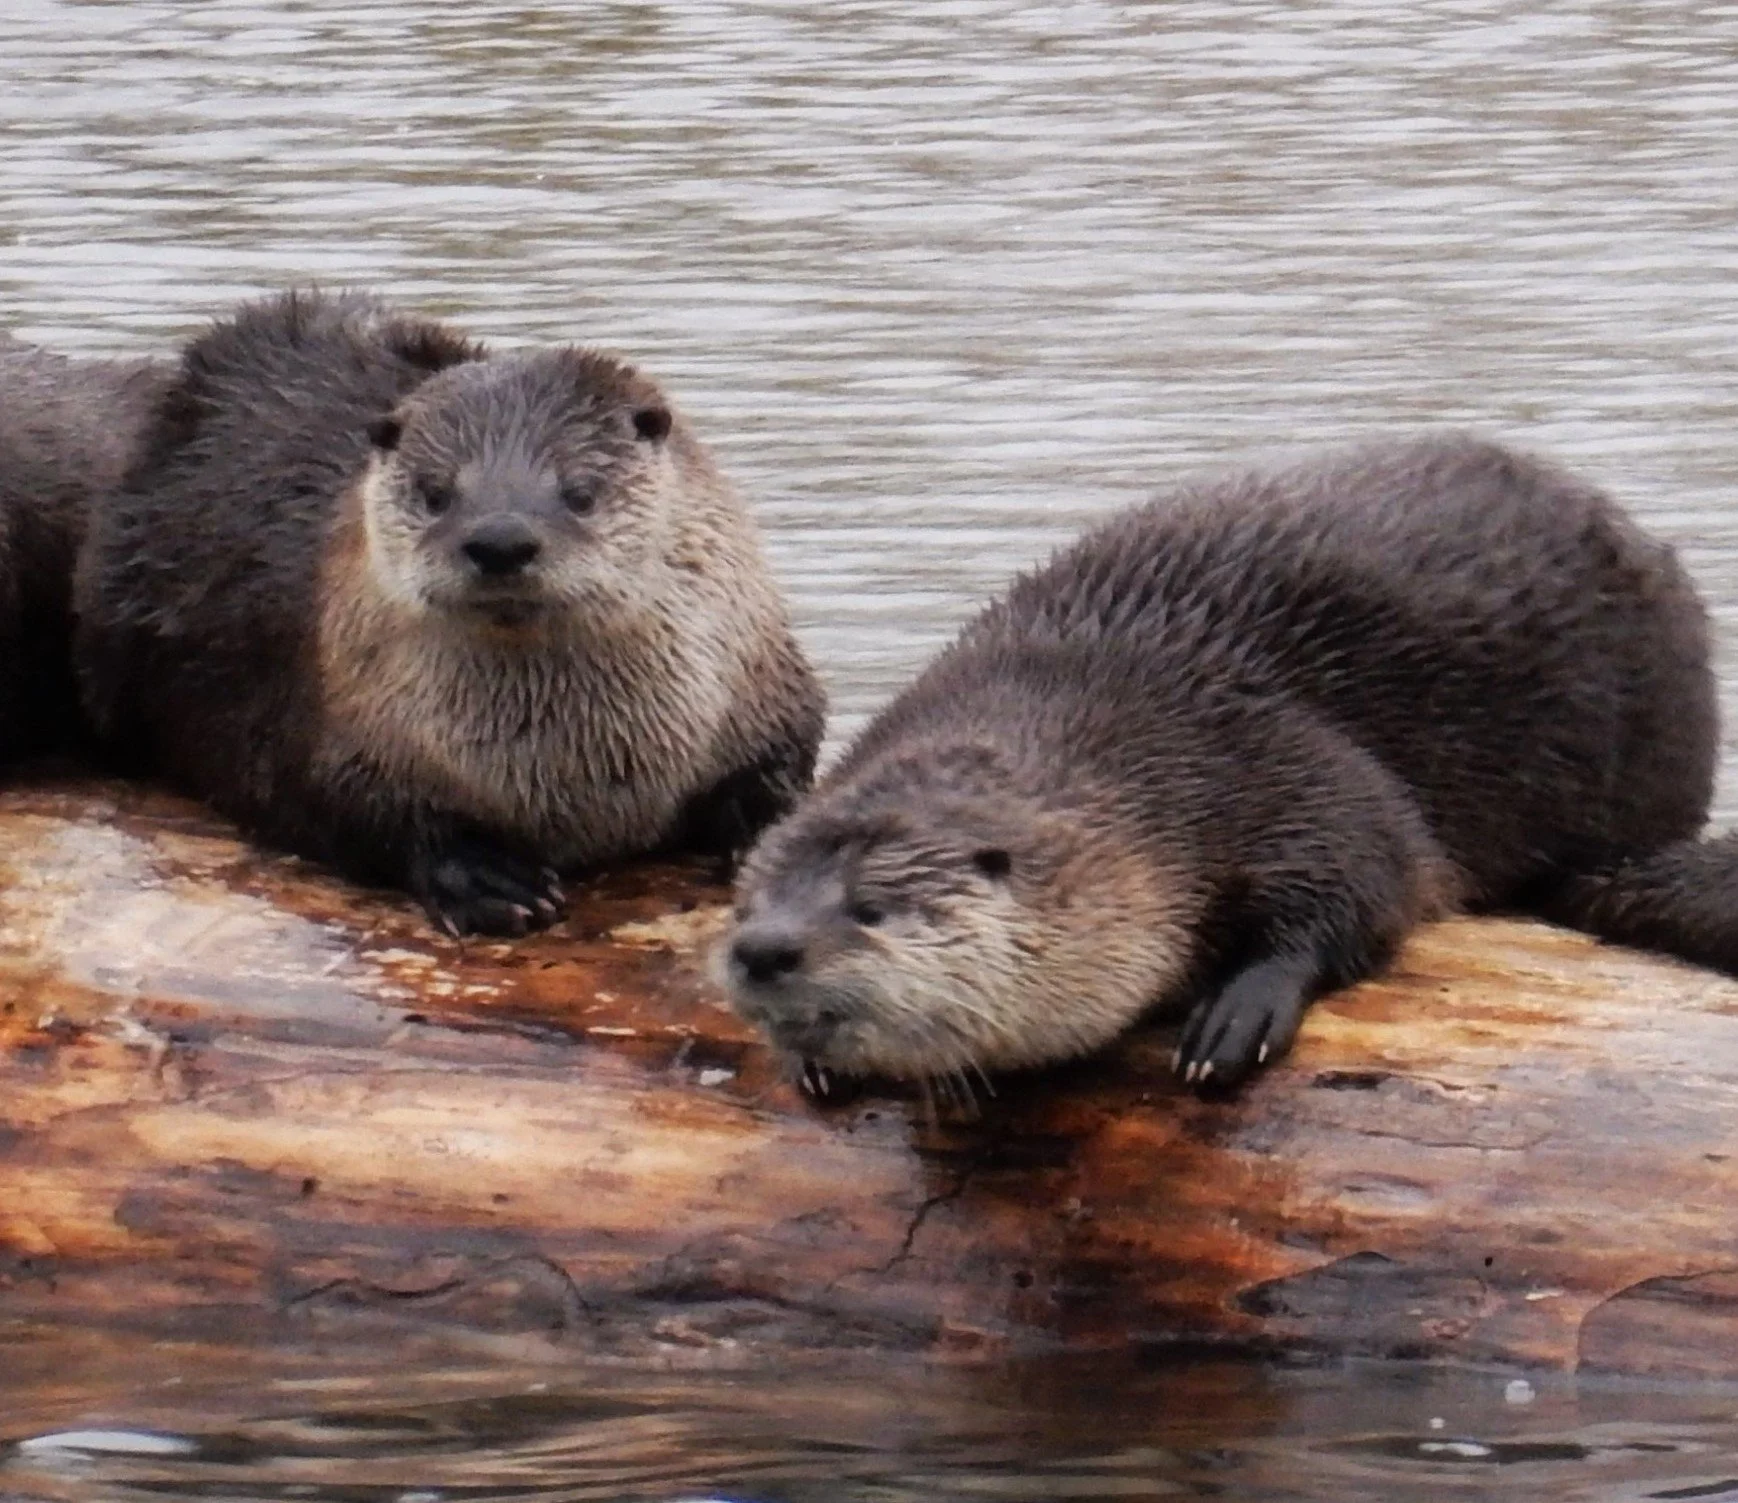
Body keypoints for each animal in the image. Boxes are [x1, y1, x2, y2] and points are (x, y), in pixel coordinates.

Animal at [75, 288, 824, 935]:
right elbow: (355, 810)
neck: (586, 771)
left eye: (579, 491)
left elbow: (788, 764)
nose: (500, 539)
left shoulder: (761, 687)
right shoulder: (328, 724)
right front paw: (487, 877)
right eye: (437, 493)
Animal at [724, 432, 1729, 1095]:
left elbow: (1366, 885)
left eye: (870, 908)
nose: (762, 950)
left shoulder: (1279, 765)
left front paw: (1238, 1014)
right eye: (748, 903)